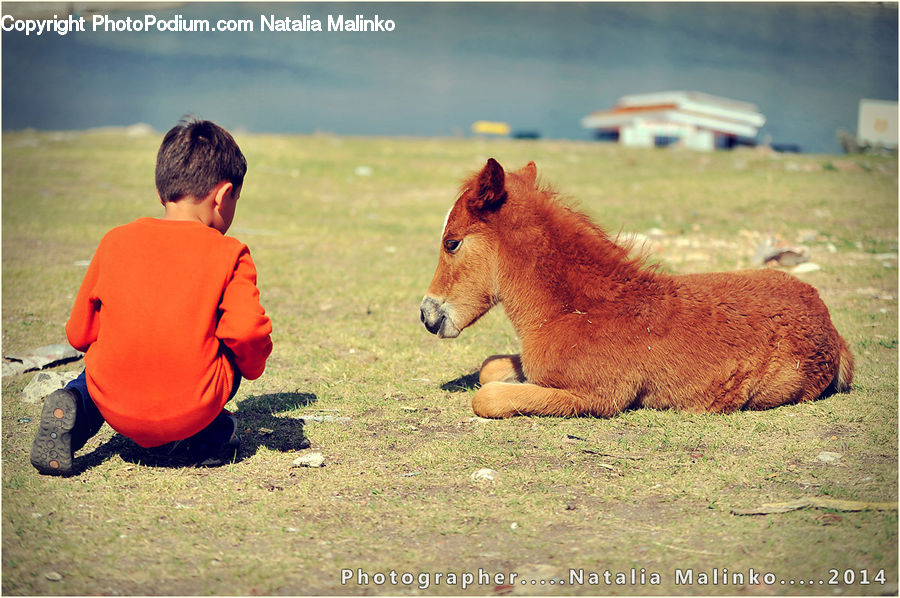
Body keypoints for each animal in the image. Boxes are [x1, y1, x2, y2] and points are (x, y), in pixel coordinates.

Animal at [419, 158, 854, 419]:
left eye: (452, 242)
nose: (428, 315)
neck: (578, 309)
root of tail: (832, 327)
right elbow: (490, 367)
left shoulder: (597, 396)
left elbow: (487, 396)